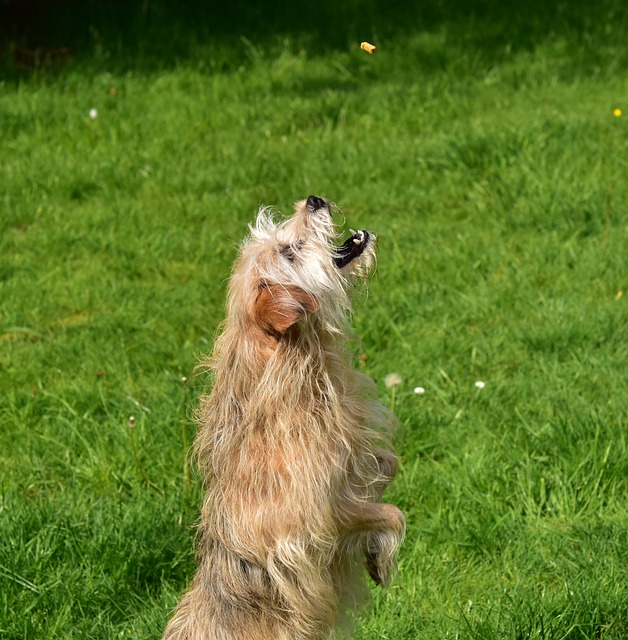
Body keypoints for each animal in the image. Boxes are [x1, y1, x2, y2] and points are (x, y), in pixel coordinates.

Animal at [164, 196, 404, 640]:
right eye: (289, 252)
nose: (313, 200)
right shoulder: (319, 518)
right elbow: (393, 513)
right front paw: (380, 556)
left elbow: (385, 465)